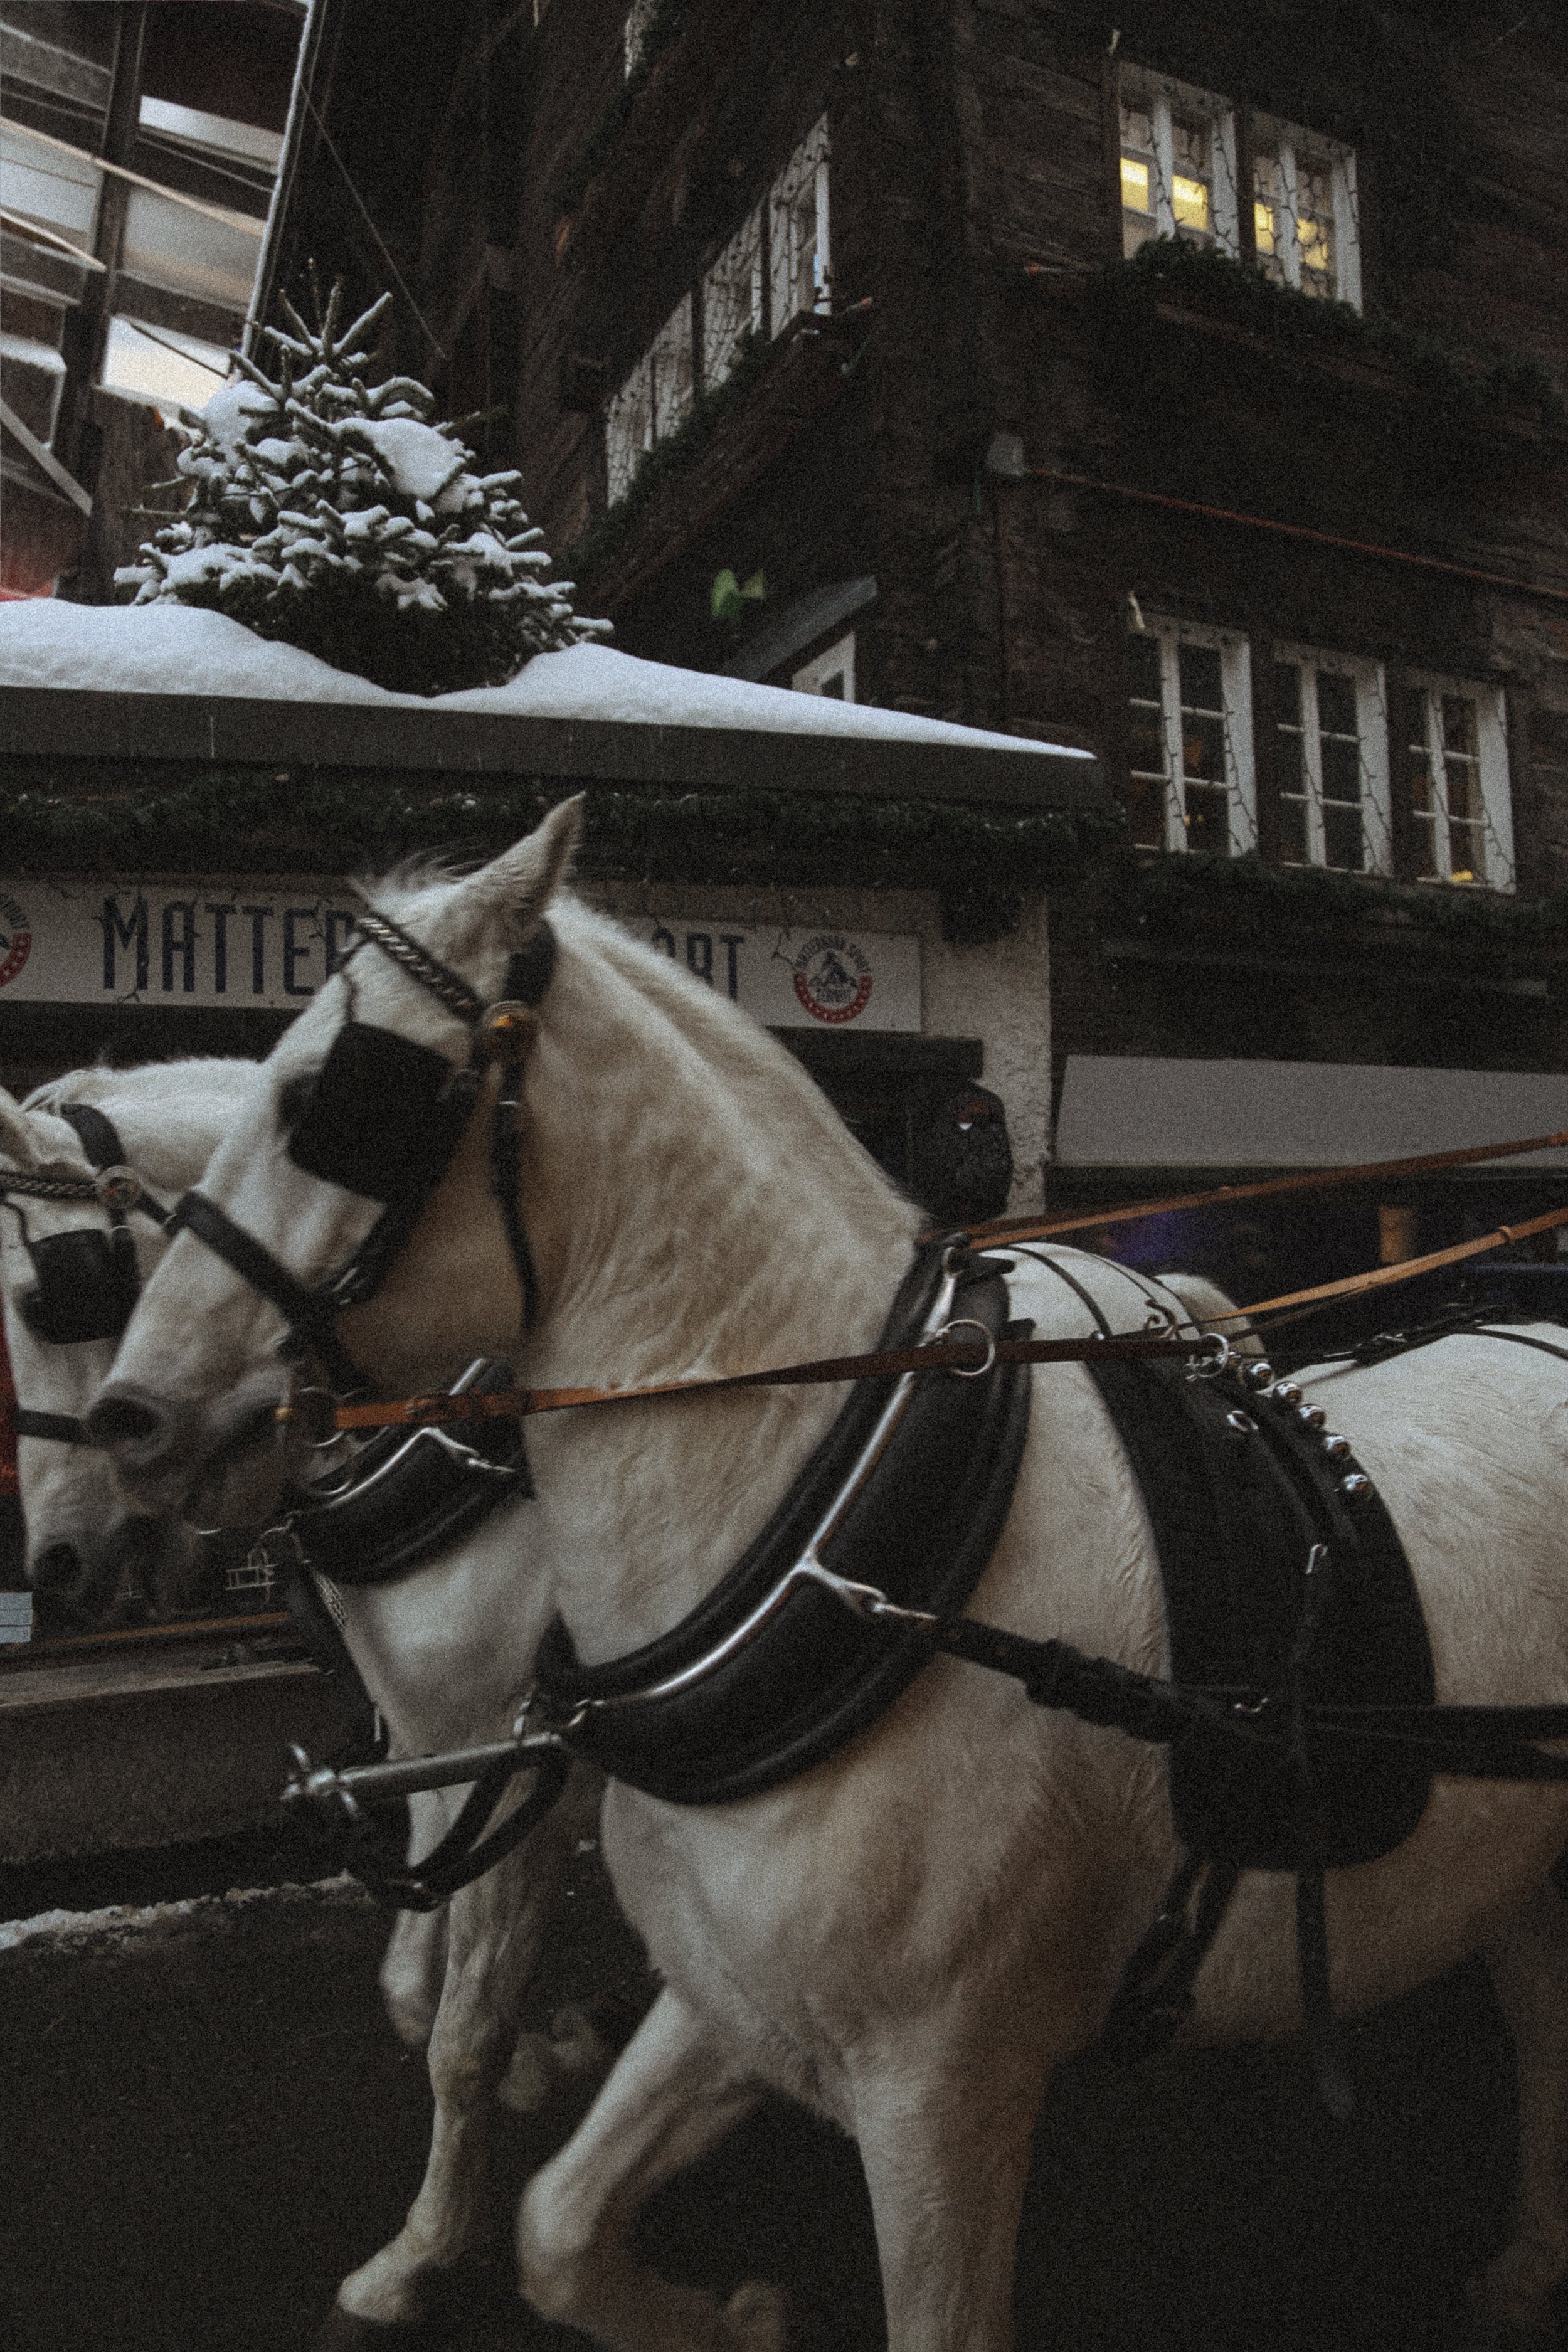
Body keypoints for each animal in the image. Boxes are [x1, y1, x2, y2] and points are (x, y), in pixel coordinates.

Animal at [0, 1062, 603, 2332]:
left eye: (48, 1296)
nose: (57, 1568)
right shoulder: (438, 1752)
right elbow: (419, 1991)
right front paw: (545, 2054)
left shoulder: (520, 1755)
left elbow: (461, 2032)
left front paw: (417, 2256)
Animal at [90, 801, 1568, 2349]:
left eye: (330, 1096)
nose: (132, 1415)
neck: (839, 1556)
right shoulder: (726, 1985)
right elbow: (555, 2222)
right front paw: (719, 2314)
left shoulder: (941, 2086)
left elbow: (472, 2034)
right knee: (1540, 2003)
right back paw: (1530, 2258)